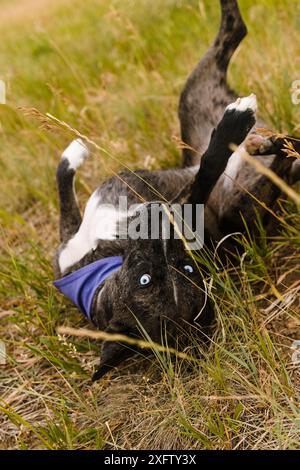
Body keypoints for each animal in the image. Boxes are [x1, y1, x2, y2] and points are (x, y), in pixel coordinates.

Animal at [54, 0, 300, 380]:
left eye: (186, 268)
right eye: (145, 281)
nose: (159, 228)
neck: (100, 263)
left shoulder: (69, 240)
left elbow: (64, 186)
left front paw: (74, 152)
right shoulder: (184, 204)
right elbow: (207, 170)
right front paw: (233, 126)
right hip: (205, 113)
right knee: (234, 30)